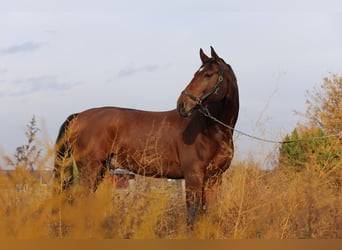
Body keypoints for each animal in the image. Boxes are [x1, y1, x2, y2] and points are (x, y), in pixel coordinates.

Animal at [54, 46, 239, 227]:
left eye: (207, 74)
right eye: (196, 74)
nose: (182, 105)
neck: (210, 130)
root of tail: (78, 116)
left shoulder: (214, 179)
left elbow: (209, 215)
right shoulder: (194, 176)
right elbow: (192, 216)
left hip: (99, 171)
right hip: (89, 170)